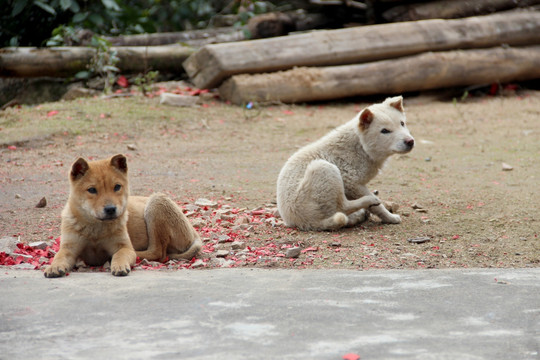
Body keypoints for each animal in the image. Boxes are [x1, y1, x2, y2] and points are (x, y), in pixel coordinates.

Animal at [44, 153, 202, 278]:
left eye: (117, 187)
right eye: (92, 190)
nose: (110, 209)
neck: (96, 228)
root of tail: (193, 232)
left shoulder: (123, 247)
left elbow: (120, 255)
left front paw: (119, 265)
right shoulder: (68, 248)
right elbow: (59, 257)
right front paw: (53, 267)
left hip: (156, 203)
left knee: (158, 252)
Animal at [276, 95, 416, 231]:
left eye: (402, 123)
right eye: (385, 131)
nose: (410, 141)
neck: (361, 147)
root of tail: (306, 223)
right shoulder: (352, 183)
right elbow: (378, 207)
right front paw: (390, 218)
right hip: (324, 167)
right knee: (343, 206)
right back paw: (370, 200)